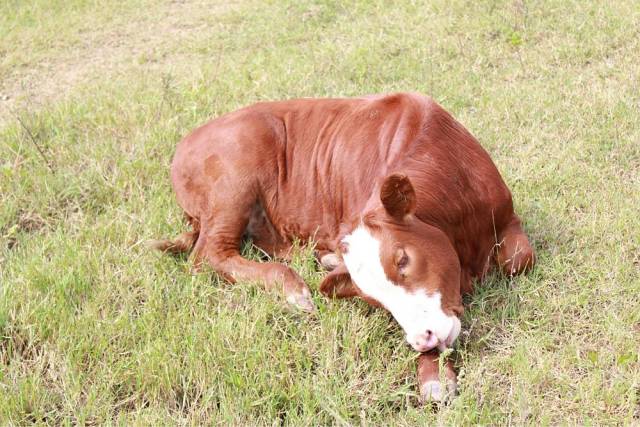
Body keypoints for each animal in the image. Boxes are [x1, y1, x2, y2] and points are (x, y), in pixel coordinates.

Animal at [154, 92, 536, 402]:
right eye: (374, 300)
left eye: (402, 259)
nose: (422, 339)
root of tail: (187, 141)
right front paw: (435, 377)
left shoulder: (506, 214)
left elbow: (519, 259)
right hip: (233, 181)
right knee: (208, 255)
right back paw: (294, 289)